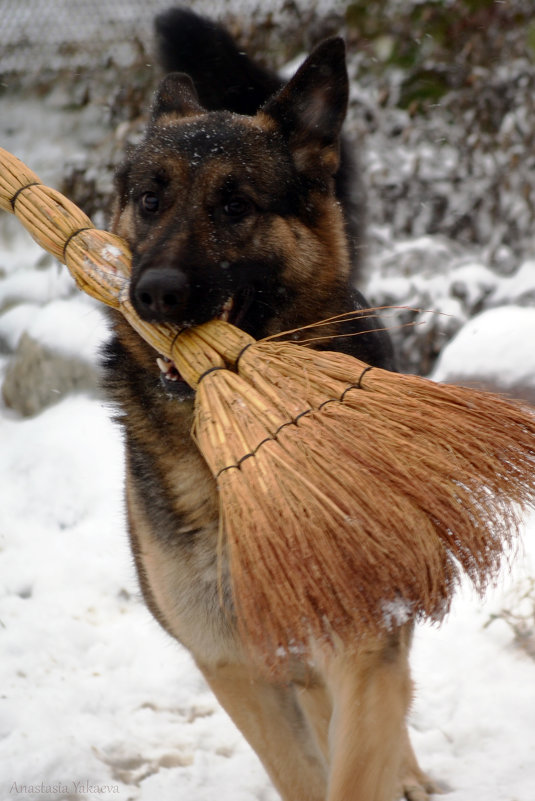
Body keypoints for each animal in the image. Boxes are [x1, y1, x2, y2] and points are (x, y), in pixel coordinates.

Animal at [104, 7, 440, 800]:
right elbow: (302, 771)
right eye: (150, 199)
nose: (154, 294)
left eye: (236, 205)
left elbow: (356, 762)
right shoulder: (235, 666)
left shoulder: (360, 647)